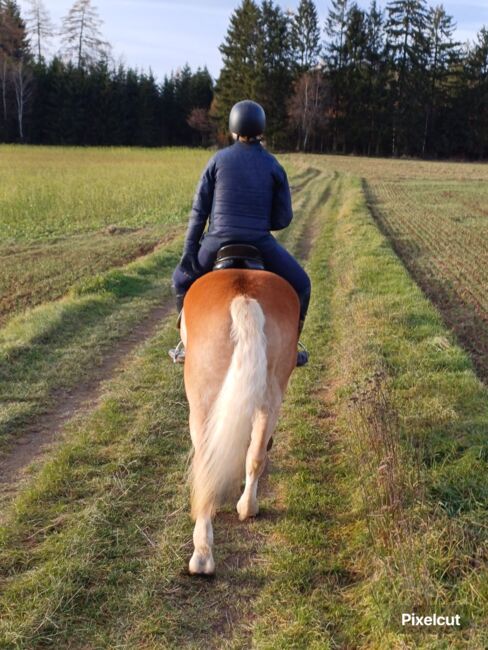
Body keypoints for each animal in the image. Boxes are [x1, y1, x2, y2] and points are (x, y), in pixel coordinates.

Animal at [181, 264, 300, 572]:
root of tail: (244, 299)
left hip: (201, 401)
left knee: (206, 463)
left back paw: (202, 552)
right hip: (272, 394)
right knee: (256, 455)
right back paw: (247, 508)